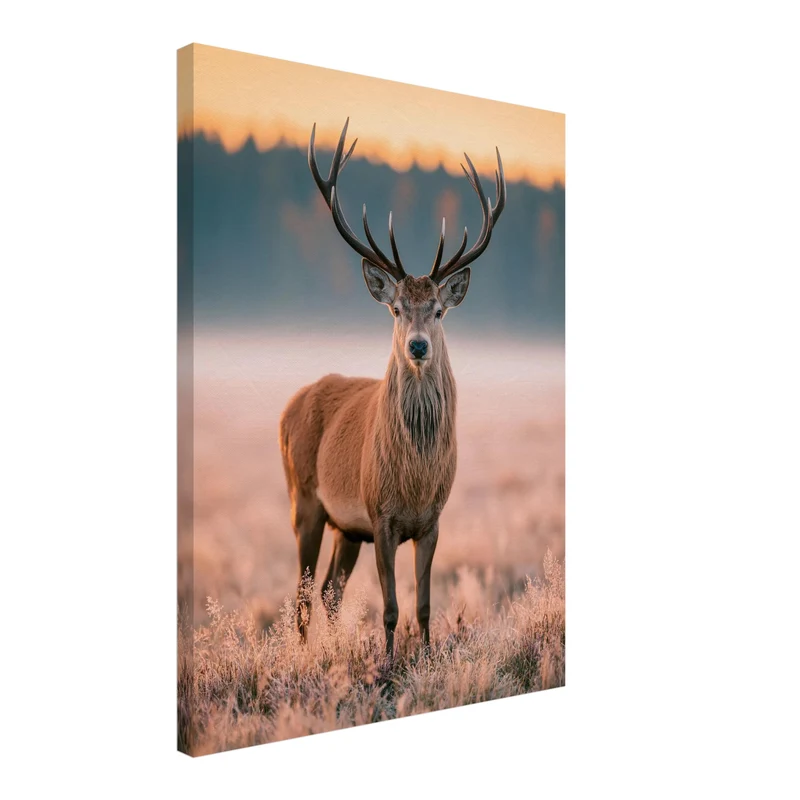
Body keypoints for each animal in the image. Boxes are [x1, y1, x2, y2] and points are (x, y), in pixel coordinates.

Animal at [279, 118, 506, 659]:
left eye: (439, 310)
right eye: (397, 309)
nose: (418, 346)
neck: (415, 480)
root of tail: (287, 408)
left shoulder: (432, 521)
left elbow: (422, 605)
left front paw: (422, 654)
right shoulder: (379, 514)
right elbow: (389, 608)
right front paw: (386, 663)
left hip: (346, 528)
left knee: (330, 590)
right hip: (305, 499)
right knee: (302, 593)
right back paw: (302, 655)